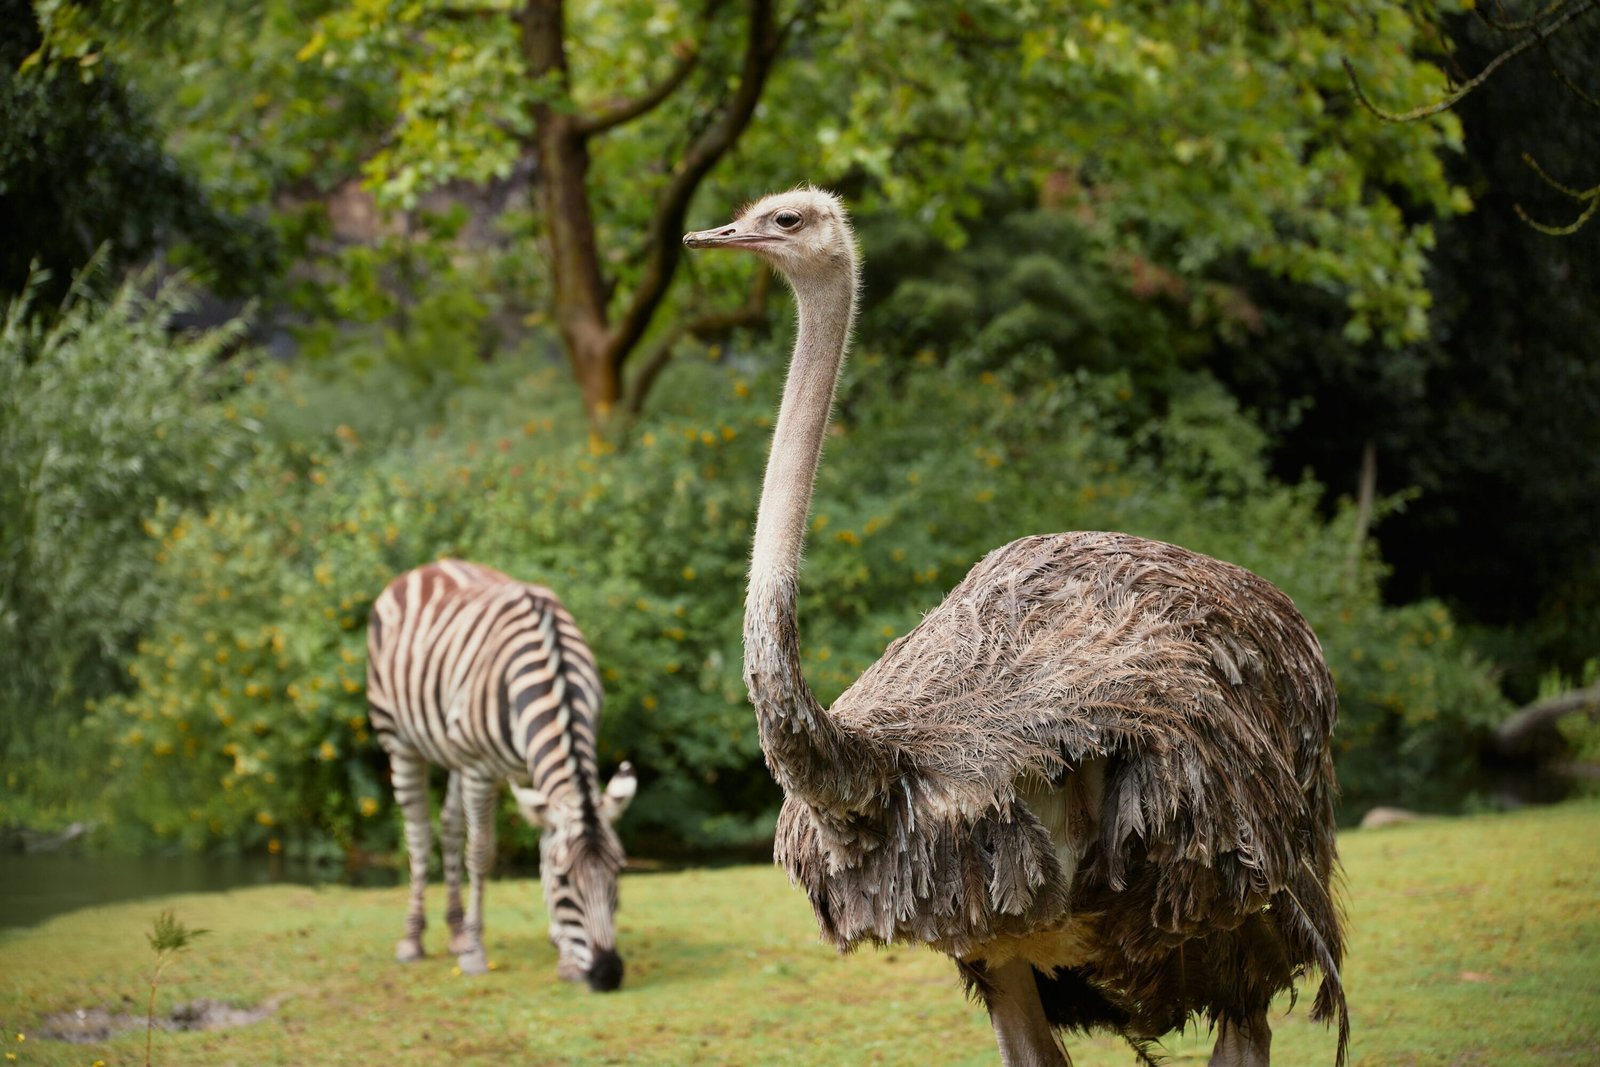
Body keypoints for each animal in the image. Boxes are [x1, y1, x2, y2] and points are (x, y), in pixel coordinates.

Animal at [366, 559, 636, 991]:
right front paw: (477, 954)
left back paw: (457, 932)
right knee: (419, 834)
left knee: (449, 827)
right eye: (564, 881)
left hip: (453, 752)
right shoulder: (480, 769)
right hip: (399, 740)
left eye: (618, 872)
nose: (608, 974)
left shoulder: (537, 779)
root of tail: (432, 565)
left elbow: (542, 847)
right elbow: (481, 853)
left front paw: (563, 952)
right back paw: (414, 939)